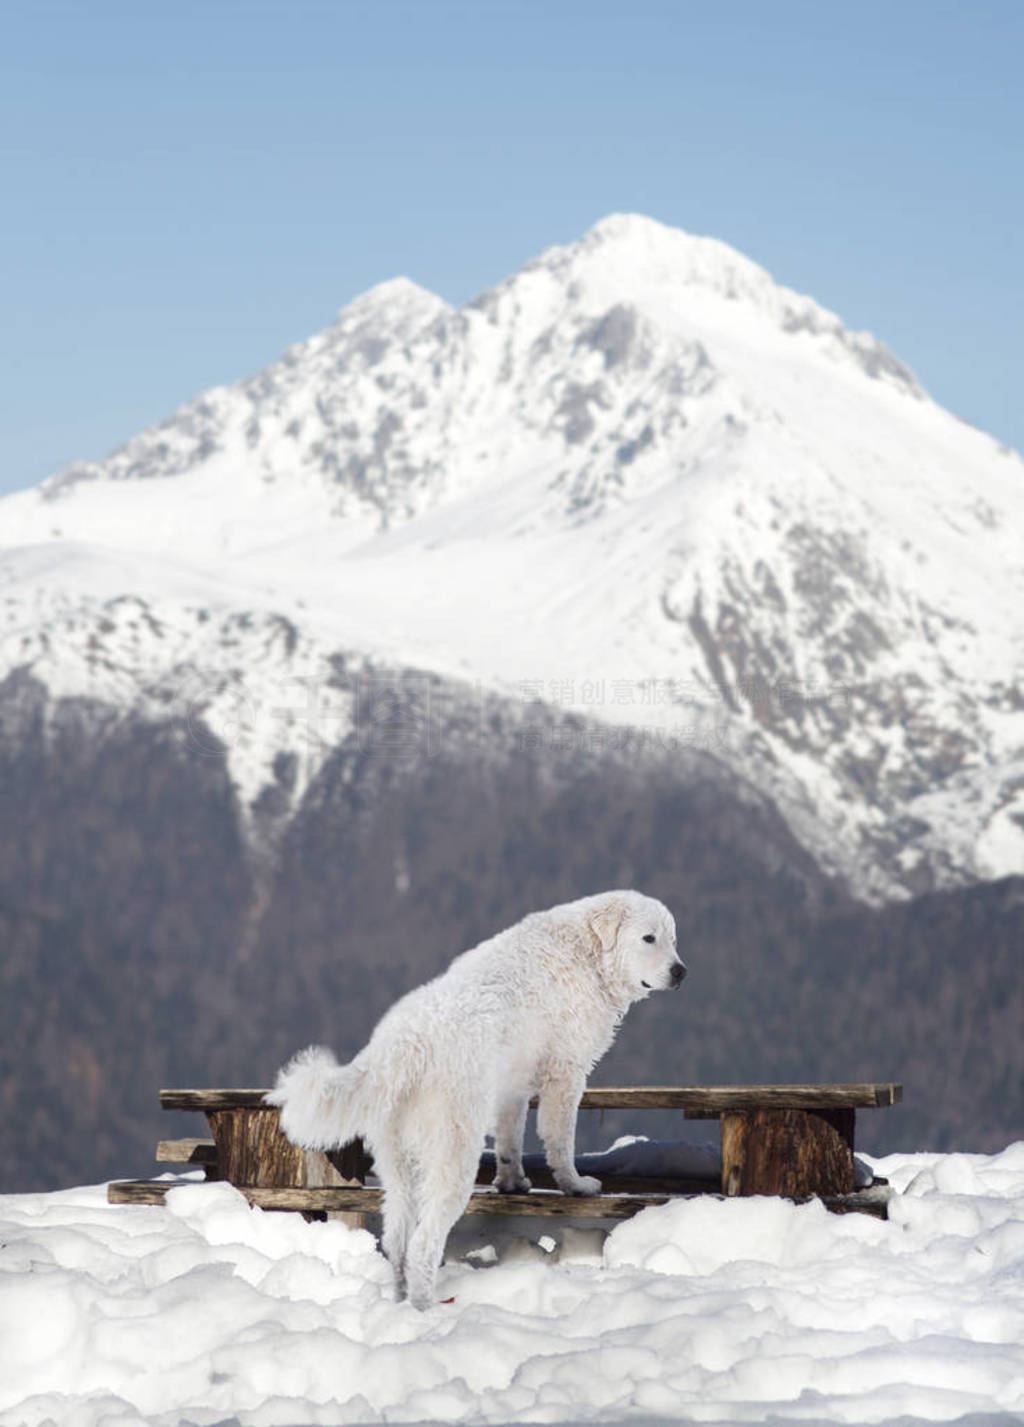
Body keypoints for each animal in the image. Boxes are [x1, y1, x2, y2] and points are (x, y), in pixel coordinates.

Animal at [268, 884, 684, 1307]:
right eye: (648, 938)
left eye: (673, 939)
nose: (680, 971)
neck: (587, 953)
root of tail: (403, 1045)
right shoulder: (565, 1075)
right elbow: (559, 1142)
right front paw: (575, 1186)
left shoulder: (511, 1088)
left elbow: (509, 1142)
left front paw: (512, 1183)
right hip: (453, 1156)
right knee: (423, 1243)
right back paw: (424, 1307)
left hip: (398, 1169)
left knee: (397, 1240)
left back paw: (400, 1301)